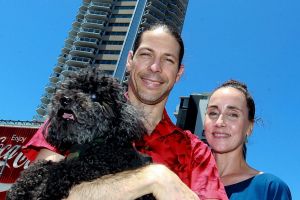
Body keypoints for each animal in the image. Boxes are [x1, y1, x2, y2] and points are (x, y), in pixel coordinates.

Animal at [7, 68, 155, 199]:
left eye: (94, 96)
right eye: (72, 88)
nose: (65, 99)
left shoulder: (96, 166)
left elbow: (64, 170)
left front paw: (38, 191)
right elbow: (42, 165)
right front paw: (20, 187)